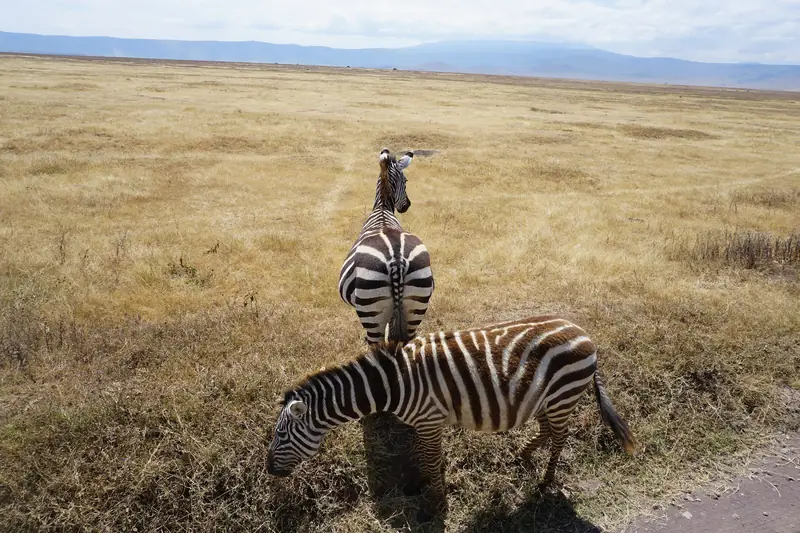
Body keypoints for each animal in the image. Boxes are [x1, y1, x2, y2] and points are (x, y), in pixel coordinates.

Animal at [267, 315, 636, 519]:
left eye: (282, 435)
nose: (269, 470)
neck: (394, 384)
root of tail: (583, 333)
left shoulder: (430, 419)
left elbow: (431, 459)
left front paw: (436, 503)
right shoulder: (421, 423)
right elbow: (421, 456)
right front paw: (423, 487)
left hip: (562, 397)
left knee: (559, 437)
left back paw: (545, 481)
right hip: (546, 400)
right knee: (546, 431)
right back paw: (522, 455)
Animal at [337, 148, 434, 345]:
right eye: (406, 181)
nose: (407, 206)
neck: (382, 209)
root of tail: (397, 259)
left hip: (371, 309)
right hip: (417, 301)